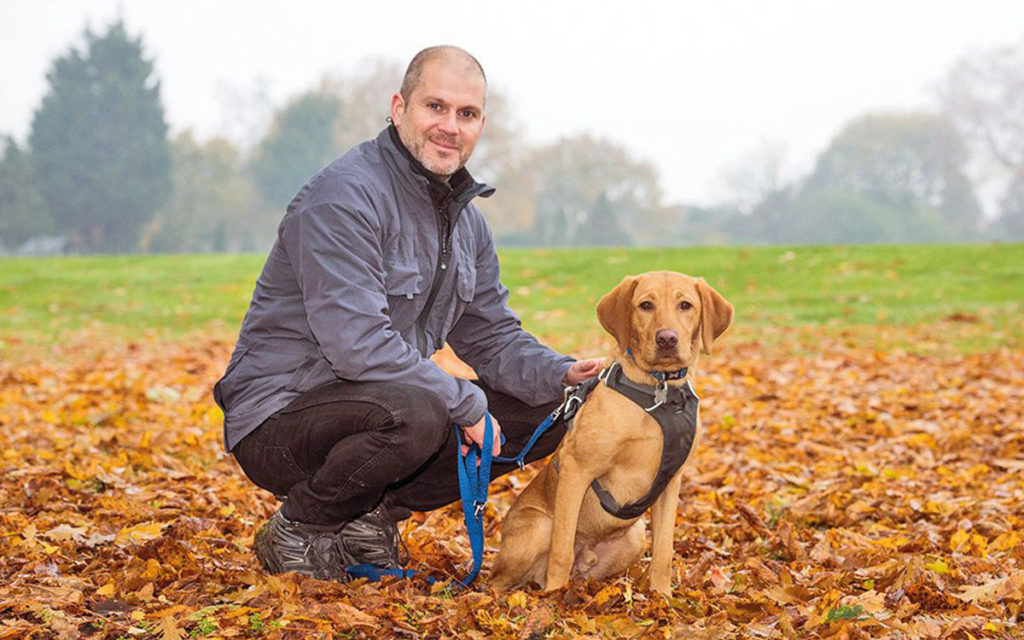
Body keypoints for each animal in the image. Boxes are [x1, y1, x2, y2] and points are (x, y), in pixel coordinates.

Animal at [491, 270, 733, 593]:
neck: (658, 393)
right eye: (645, 305)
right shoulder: (576, 469)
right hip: (539, 528)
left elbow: (664, 552)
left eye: (686, 305)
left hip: (634, 537)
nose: (667, 339)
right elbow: (561, 550)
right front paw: (553, 597)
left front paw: (662, 596)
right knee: (497, 580)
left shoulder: (671, 482)